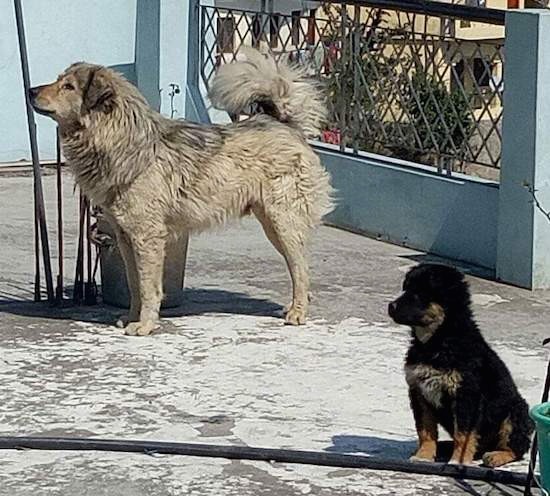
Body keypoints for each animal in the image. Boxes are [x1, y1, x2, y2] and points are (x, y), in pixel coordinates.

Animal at [30, 48, 334, 336]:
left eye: (68, 86)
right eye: (59, 81)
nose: (31, 91)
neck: (121, 139)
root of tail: (284, 125)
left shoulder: (148, 237)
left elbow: (148, 287)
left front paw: (145, 325)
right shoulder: (125, 237)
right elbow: (134, 284)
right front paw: (132, 317)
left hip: (283, 222)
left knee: (301, 267)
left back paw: (297, 312)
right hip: (272, 224)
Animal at [388, 264, 536, 464]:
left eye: (419, 294)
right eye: (406, 289)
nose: (391, 306)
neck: (437, 341)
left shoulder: (466, 394)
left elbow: (463, 433)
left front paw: (458, 460)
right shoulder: (419, 391)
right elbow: (425, 429)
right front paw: (423, 456)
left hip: (514, 413)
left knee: (516, 447)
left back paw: (497, 455)